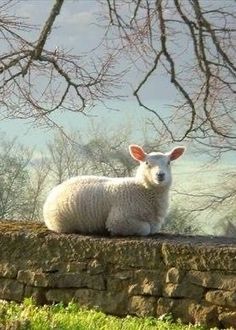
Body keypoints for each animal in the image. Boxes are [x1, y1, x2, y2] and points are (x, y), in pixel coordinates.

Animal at [43, 144, 185, 235]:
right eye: (147, 163)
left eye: (168, 162)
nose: (160, 175)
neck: (142, 190)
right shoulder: (119, 220)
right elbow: (146, 229)